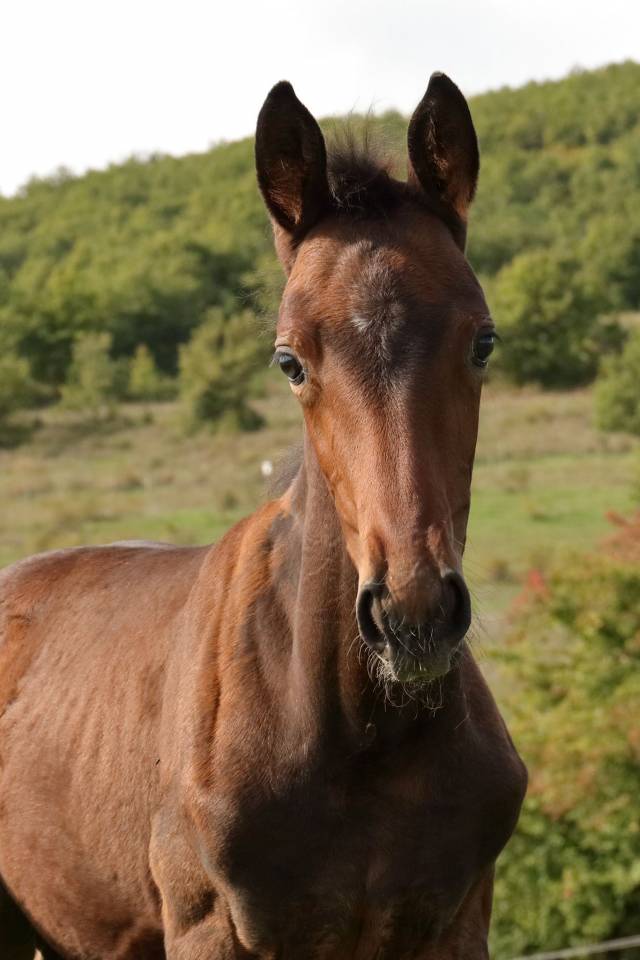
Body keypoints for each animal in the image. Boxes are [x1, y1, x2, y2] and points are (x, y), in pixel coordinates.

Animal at [0, 74, 527, 959]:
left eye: (484, 342)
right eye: (289, 361)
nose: (413, 615)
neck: (360, 740)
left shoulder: (456, 926)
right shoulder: (209, 928)